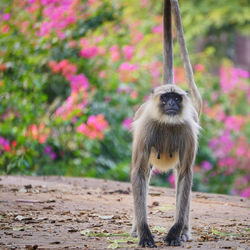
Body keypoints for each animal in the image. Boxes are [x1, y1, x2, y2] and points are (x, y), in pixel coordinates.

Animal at [130, 0, 202, 247]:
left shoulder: (188, 131)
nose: (171, 103)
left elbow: (185, 175)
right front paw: (144, 232)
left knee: (183, 176)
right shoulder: (145, 129)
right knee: (144, 174)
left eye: (177, 98)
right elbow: (139, 172)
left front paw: (174, 233)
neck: (167, 122)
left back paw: (184, 231)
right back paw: (136, 228)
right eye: (165, 98)